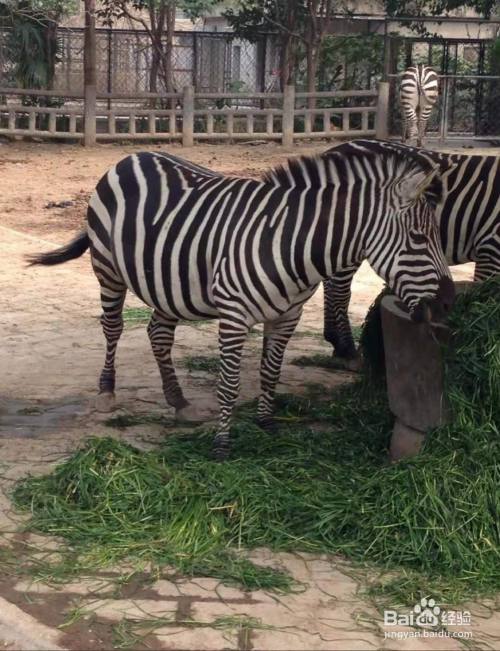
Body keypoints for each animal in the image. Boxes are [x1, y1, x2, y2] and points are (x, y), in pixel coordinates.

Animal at [29, 150, 456, 460]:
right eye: (419, 238)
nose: (450, 303)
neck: (289, 241)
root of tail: (130, 156)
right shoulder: (235, 316)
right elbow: (230, 383)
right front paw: (222, 445)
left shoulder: (286, 316)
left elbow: (270, 374)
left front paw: (266, 424)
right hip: (108, 269)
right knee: (113, 328)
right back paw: (107, 391)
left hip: (168, 283)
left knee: (158, 334)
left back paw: (179, 402)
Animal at [322, 140, 498, 364]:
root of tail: (334, 149)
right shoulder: (490, 247)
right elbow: (483, 293)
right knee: (339, 290)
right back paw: (346, 348)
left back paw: (335, 341)